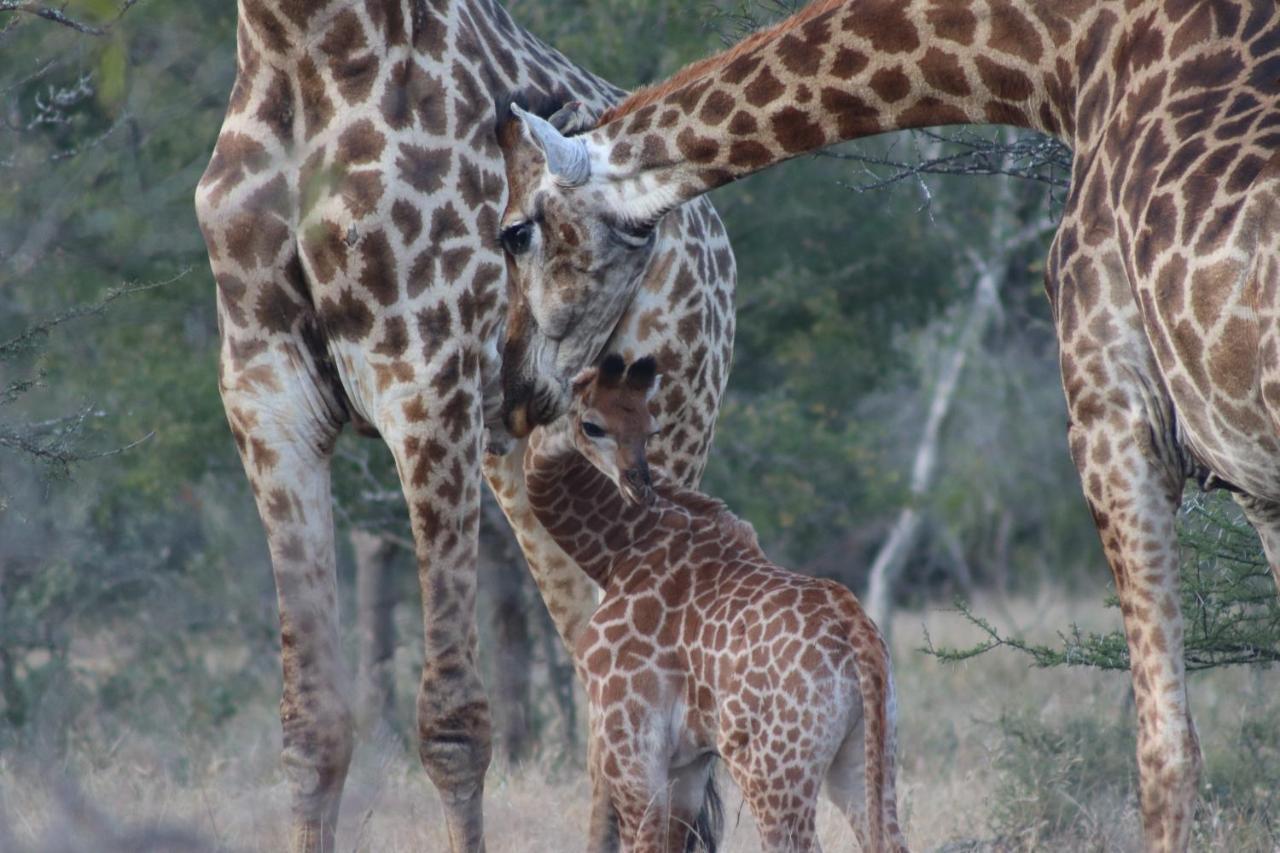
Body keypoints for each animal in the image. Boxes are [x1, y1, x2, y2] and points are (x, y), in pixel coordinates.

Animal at [188, 3, 732, 845]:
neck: (300, 47)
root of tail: (718, 247)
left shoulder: (425, 376)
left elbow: (453, 724)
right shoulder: (265, 392)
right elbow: (312, 724)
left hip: (669, 431)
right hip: (531, 472)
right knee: (605, 679)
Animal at [522, 353, 911, 850]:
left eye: (650, 428)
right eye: (593, 425)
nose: (639, 485)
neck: (616, 552)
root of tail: (858, 636)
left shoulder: (630, 745)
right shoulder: (688, 764)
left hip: (773, 772)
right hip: (866, 756)